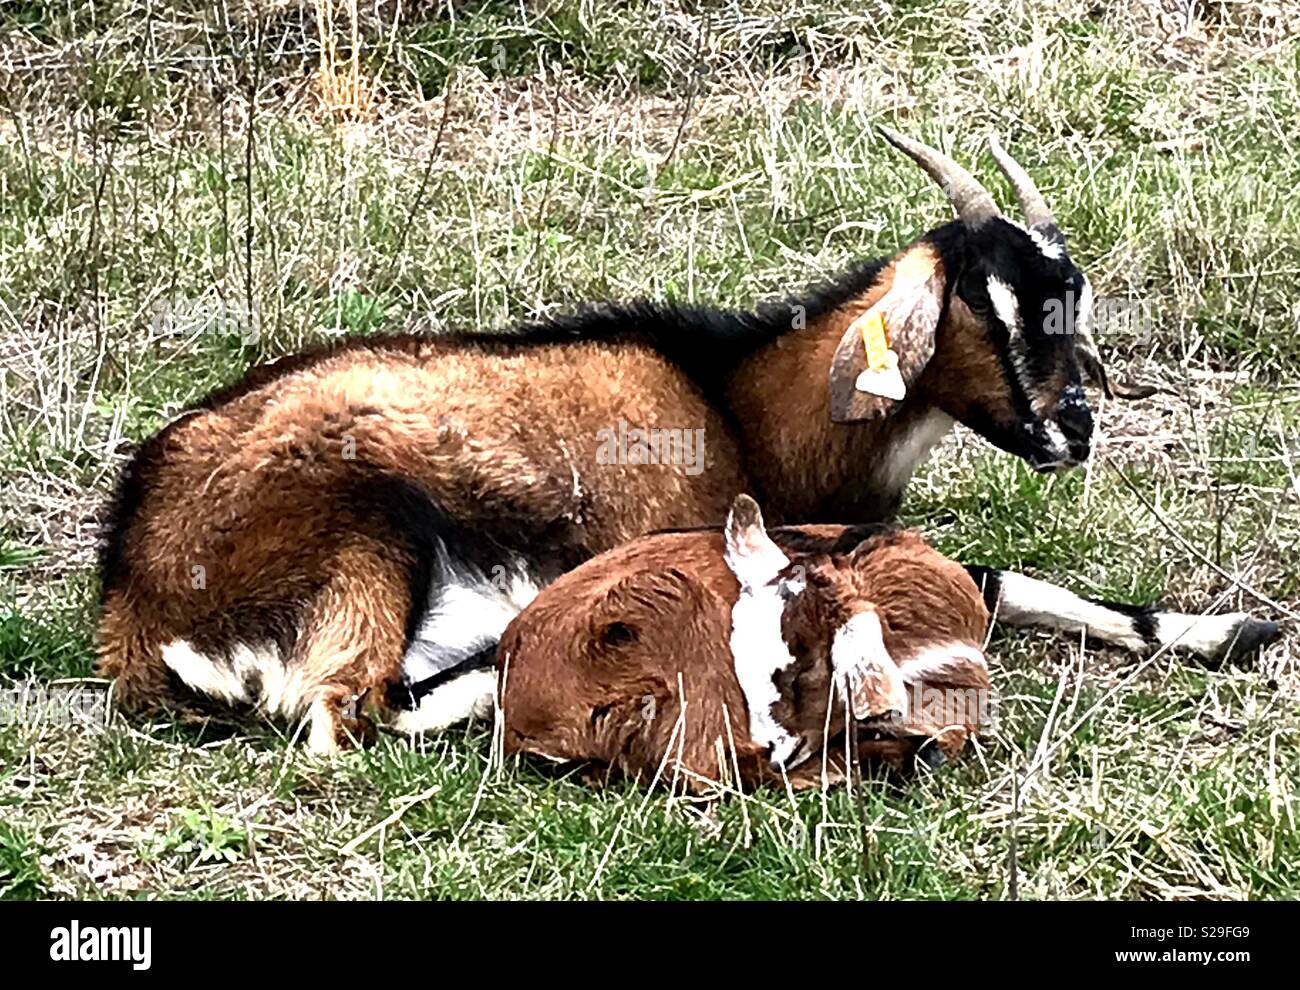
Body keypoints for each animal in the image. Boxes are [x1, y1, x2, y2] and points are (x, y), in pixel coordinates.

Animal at [96, 128, 1278, 752]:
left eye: (1069, 299)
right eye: (986, 308)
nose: (1073, 428)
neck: (738, 406)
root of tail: (135, 600)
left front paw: (1225, 629)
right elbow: (976, 579)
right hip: (369, 538)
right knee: (357, 711)